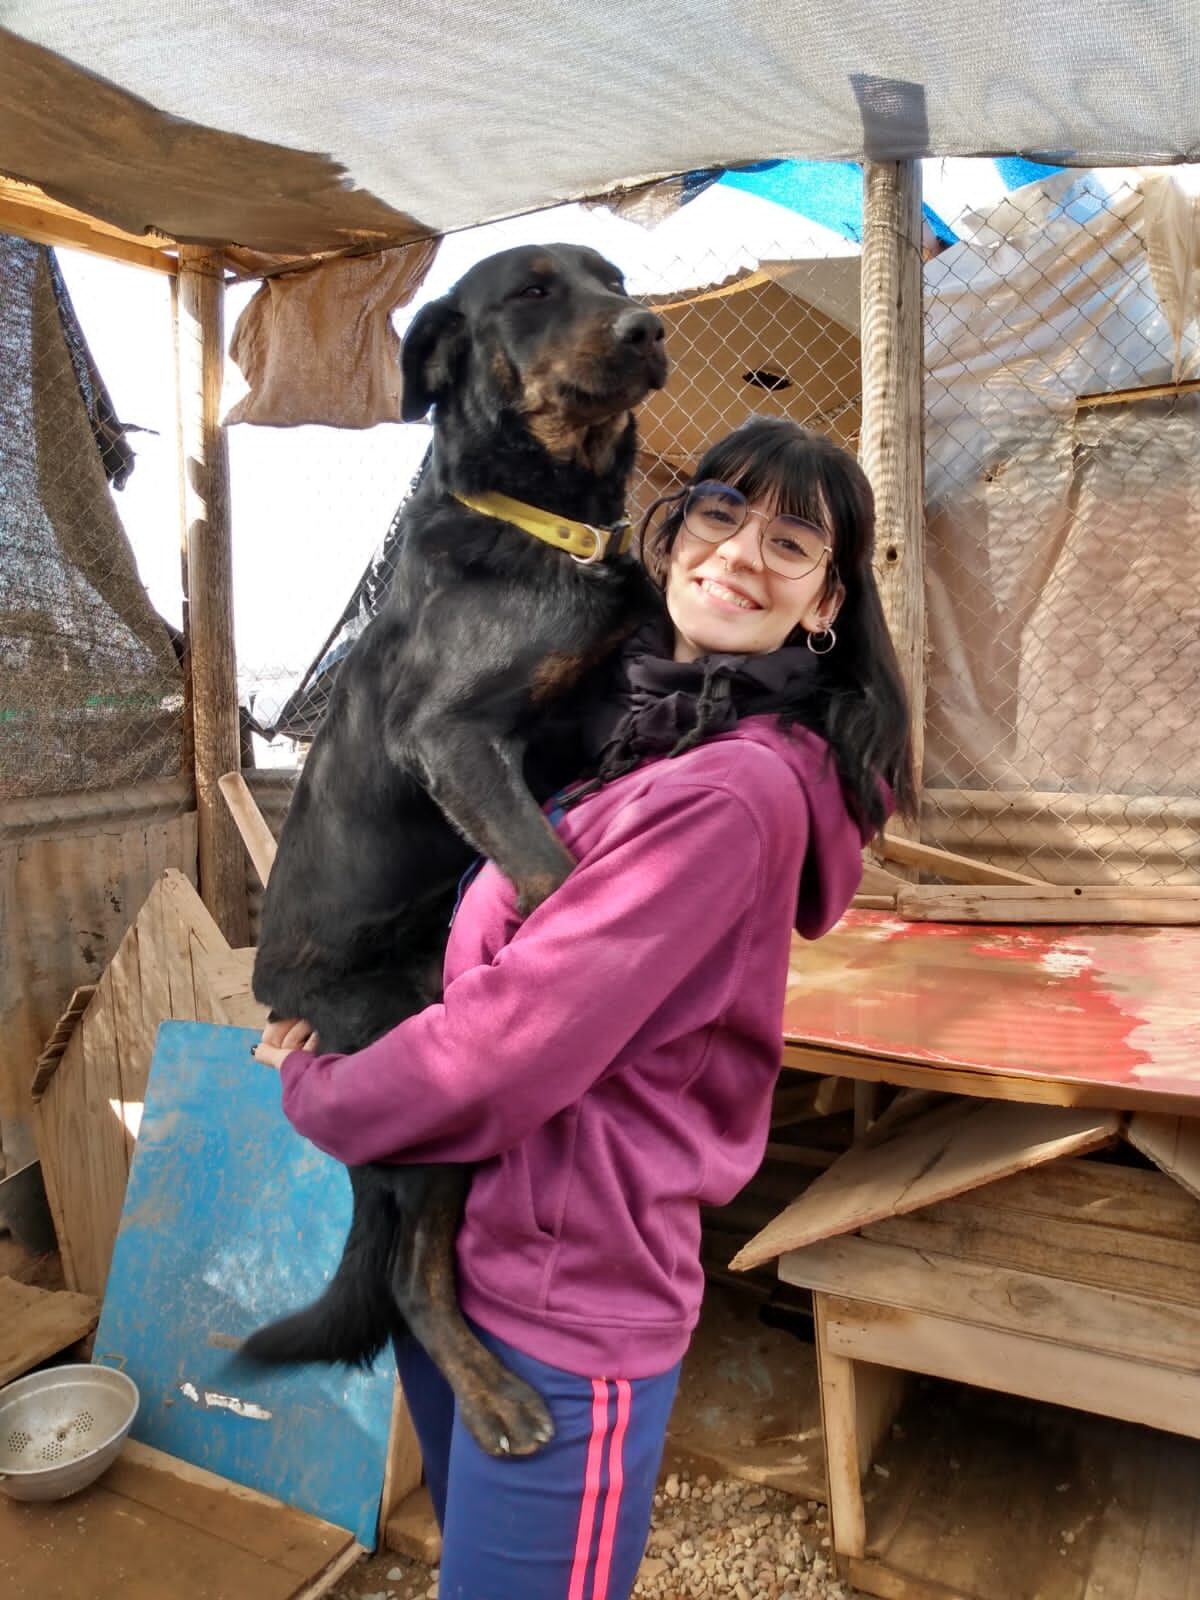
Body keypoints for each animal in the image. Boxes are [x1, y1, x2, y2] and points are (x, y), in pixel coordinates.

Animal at [246, 243, 668, 1459]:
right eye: (530, 292)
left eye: (614, 277)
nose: (650, 328)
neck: (544, 520)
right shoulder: (457, 739)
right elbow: (555, 872)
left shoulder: (594, 701)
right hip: (419, 1066)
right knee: (411, 1276)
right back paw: (496, 1398)